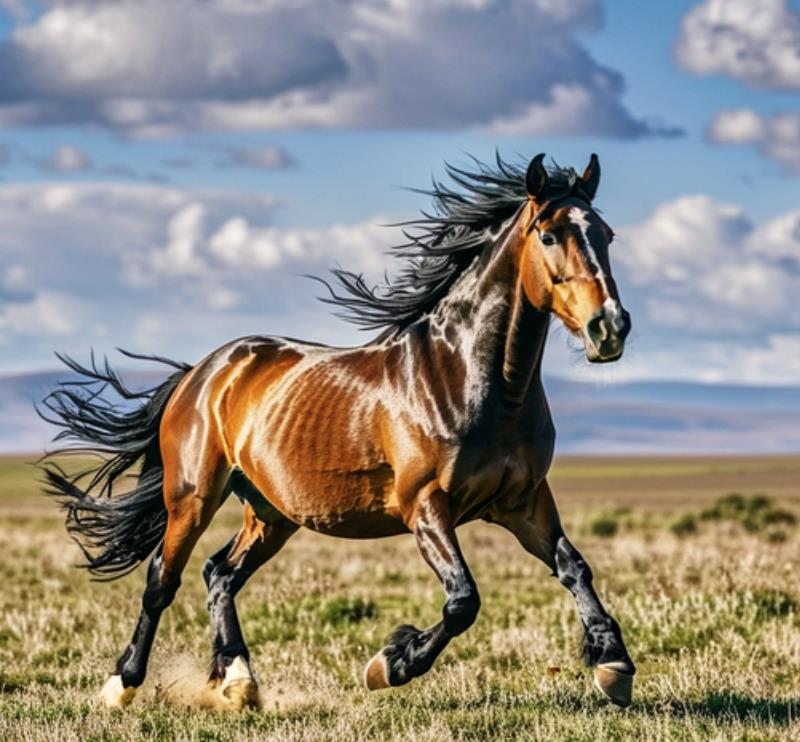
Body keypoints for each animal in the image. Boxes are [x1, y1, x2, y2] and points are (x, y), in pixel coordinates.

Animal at [42, 153, 636, 716]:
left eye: (606, 234)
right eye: (549, 235)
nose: (610, 326)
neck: (474, 380)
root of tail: (203, 373)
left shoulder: (523, 502)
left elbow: (574, 568)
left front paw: (614, 664)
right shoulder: (426, 507)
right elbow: (463, 600)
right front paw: (391, 664)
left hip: (271, 513)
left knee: (220, 573)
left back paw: (238, 682)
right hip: (192, 497)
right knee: (163, 581)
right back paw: (122, 686)